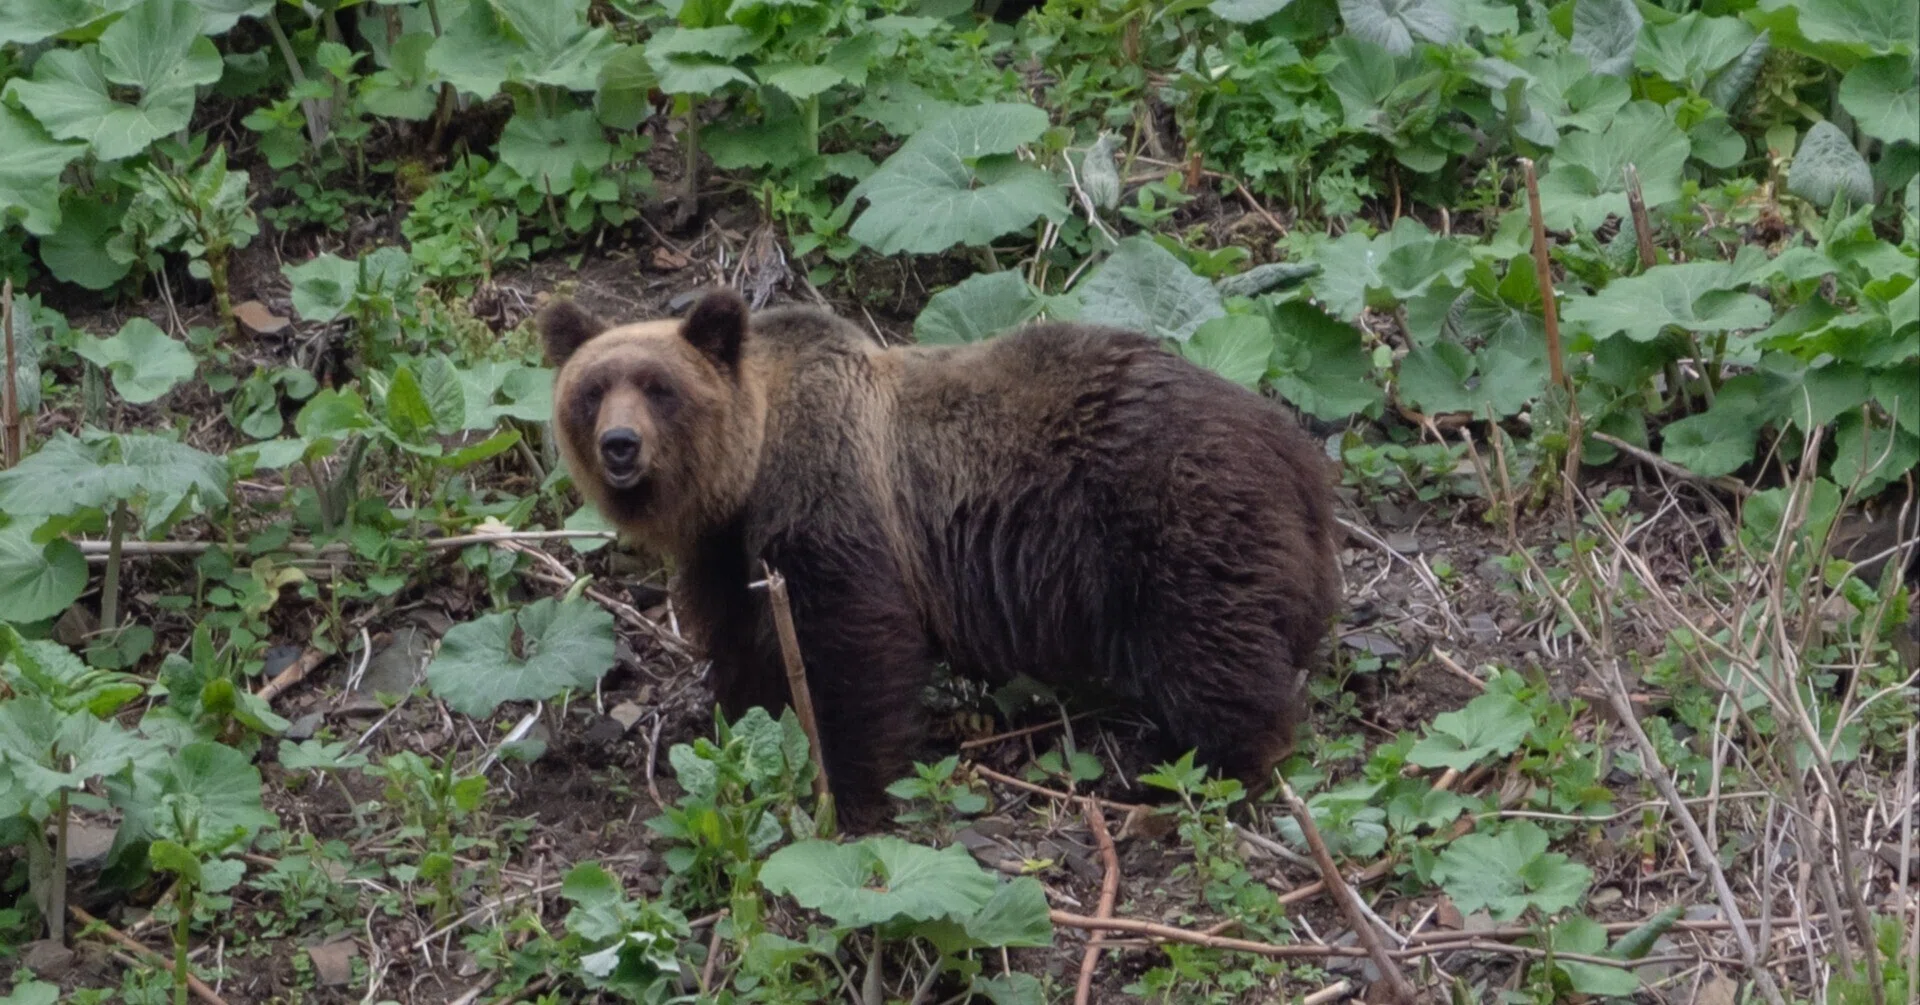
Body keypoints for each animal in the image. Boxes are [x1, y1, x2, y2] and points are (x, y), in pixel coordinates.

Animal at [542, 287, 1342, 828]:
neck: (750, 468)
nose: (621, 445)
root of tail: (1297, 452)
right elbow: (744, 648)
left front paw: (851, 793)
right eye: (592, 389)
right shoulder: (726, 551)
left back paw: (1201, 771)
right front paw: (741, 726)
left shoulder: (832, 500)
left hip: (1175, 519)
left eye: (660, 388)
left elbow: (855, 649)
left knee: (1211, 651)